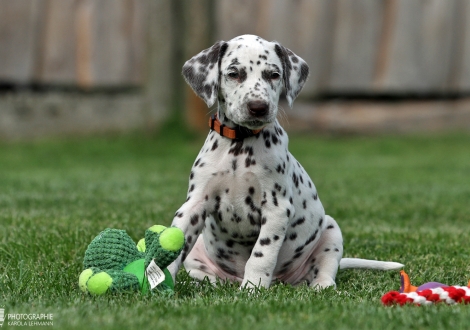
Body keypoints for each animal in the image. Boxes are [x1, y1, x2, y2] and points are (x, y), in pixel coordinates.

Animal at [167, 34, 402, 290]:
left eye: (273, 74)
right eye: (234, 73)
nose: (258, 107)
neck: (240, 147)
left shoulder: (276, 208)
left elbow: (261, 254)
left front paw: (253, 287)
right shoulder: (194, 205)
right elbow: (174, 246)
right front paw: (158, 279)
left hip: (331, 231)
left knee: (326, 269)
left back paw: (320, 285)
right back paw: (209, 282)